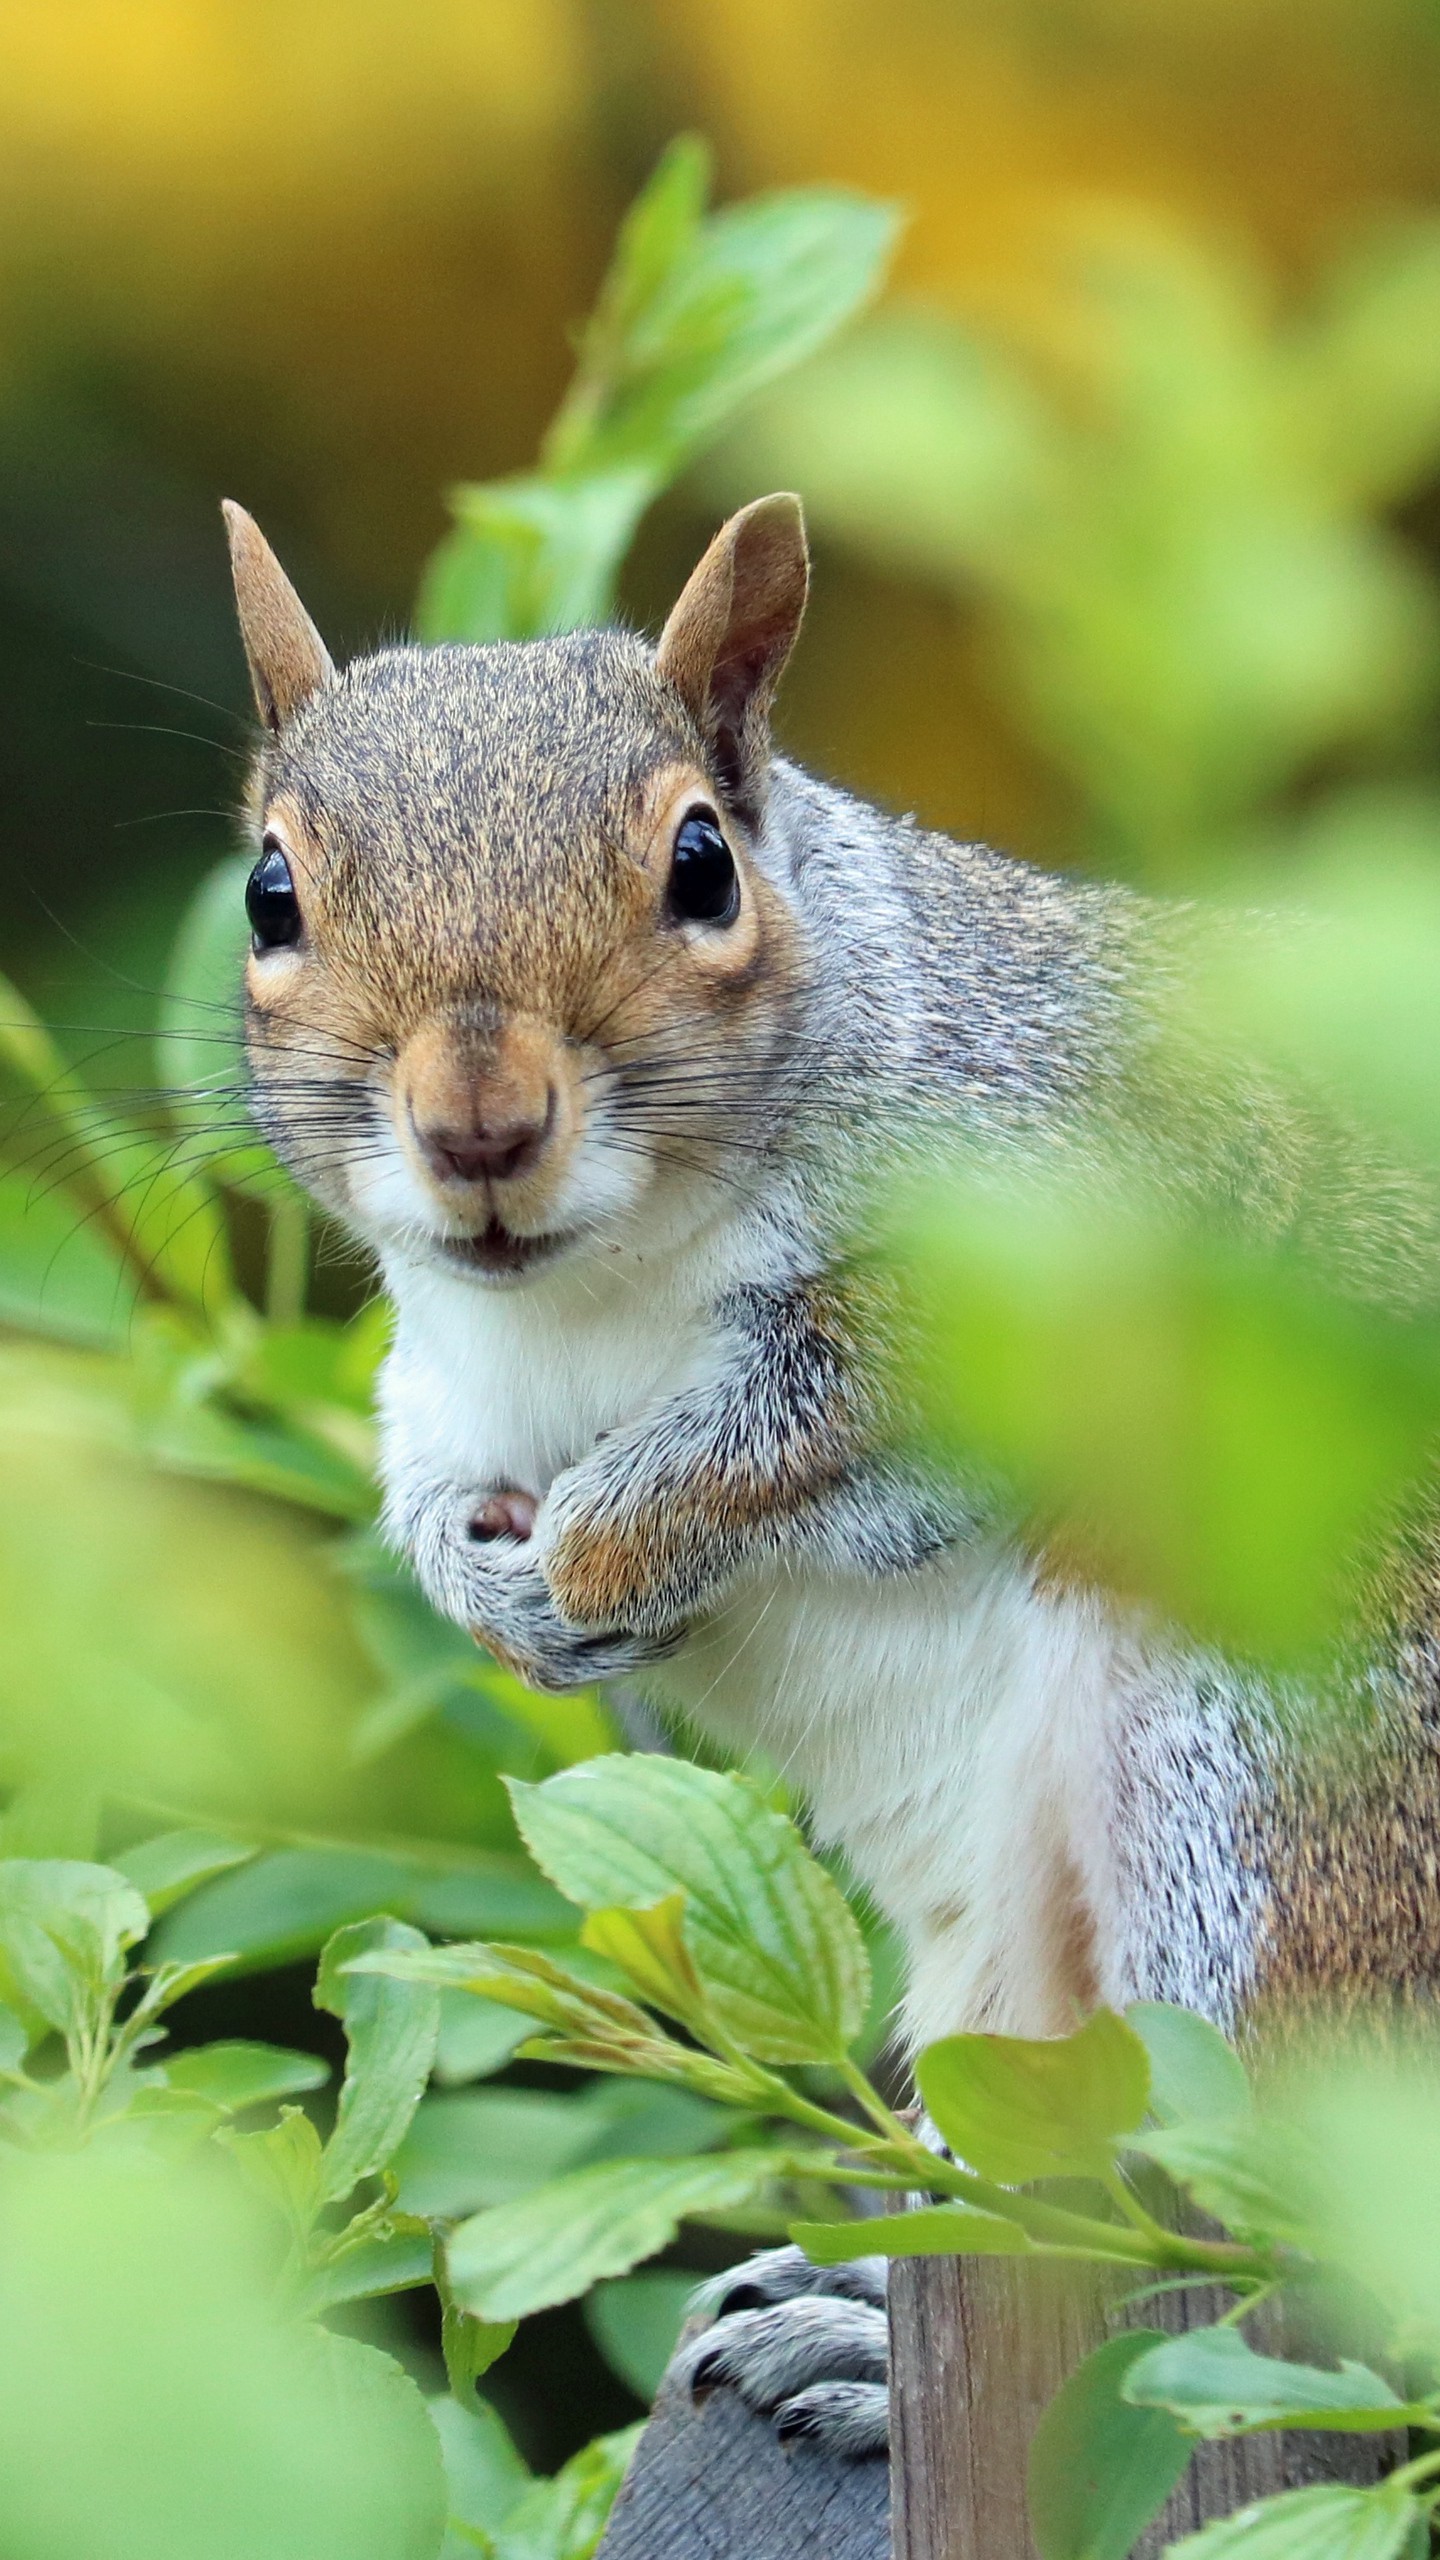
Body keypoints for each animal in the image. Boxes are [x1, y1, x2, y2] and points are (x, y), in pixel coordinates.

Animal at [219, 488, 1434, 2447]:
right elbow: (423, 1489)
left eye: (703, 868)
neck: (585, 1307)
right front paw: (490, 1593)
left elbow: (812, 1424)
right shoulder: (447, 1390)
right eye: (271, 892)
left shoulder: (1061, 1249)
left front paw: (604, 1555)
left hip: (1269, 1802)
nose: (479, 1128)